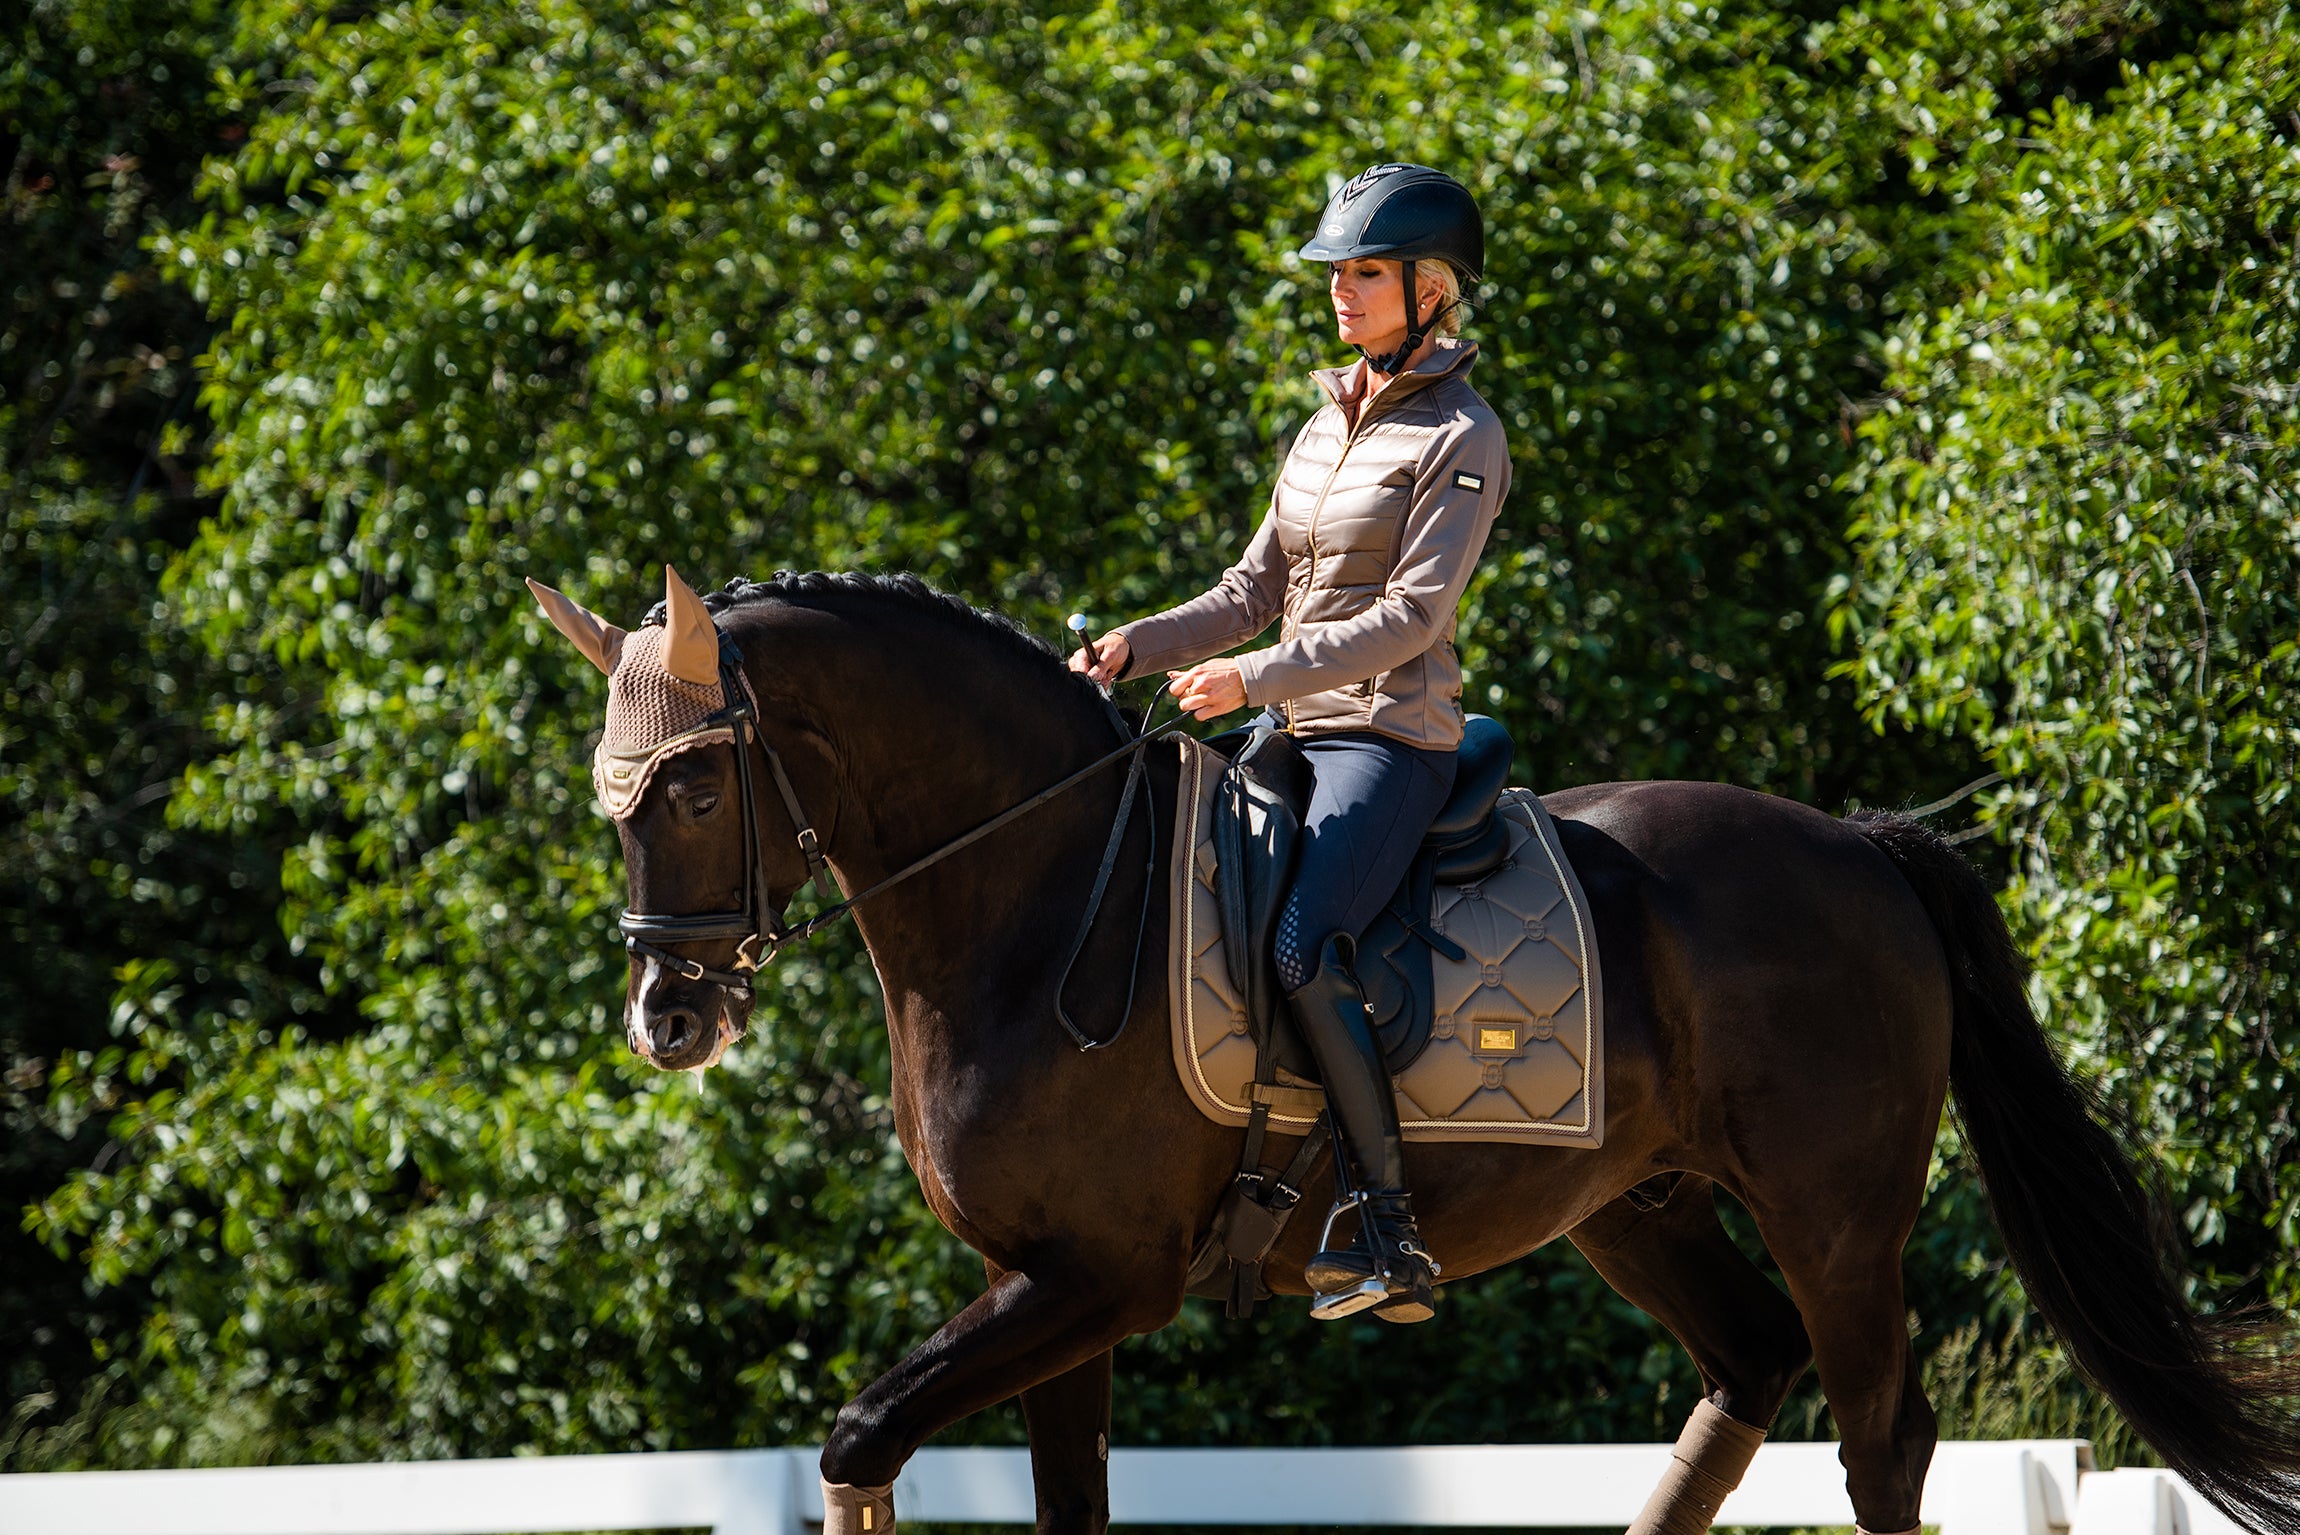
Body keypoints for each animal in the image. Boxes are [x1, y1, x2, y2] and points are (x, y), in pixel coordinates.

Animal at [556, 570, 2300, 1535]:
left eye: (695, 783)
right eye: (607, 785)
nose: (669, 1017)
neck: (1042, 896)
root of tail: (1860, 845)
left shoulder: (1098, 1279)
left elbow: (860, 1437)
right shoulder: (1047, 1292)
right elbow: (1064, 1502)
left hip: (1839, 1214)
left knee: (1880, 1439)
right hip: (1636, 1205)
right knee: (1749, 1365)